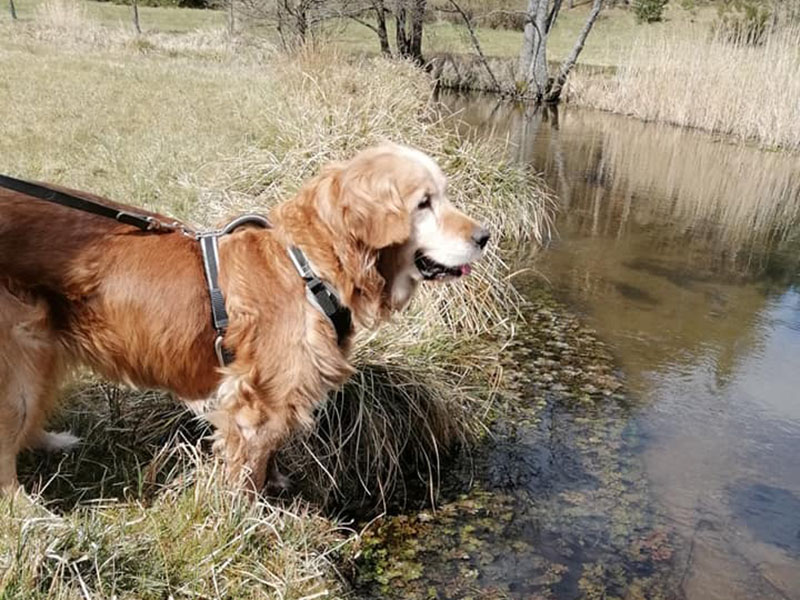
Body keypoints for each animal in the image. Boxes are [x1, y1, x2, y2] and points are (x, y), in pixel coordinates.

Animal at [0, 143, 488, 494]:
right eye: (424, 203)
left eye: (443, 196)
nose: (485, 236)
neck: (312, 268)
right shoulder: (256, 406)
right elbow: (248, 472)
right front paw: (253, 519)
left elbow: (268, 458)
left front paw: (275, 487)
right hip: (16, 367)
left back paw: (49, 442)